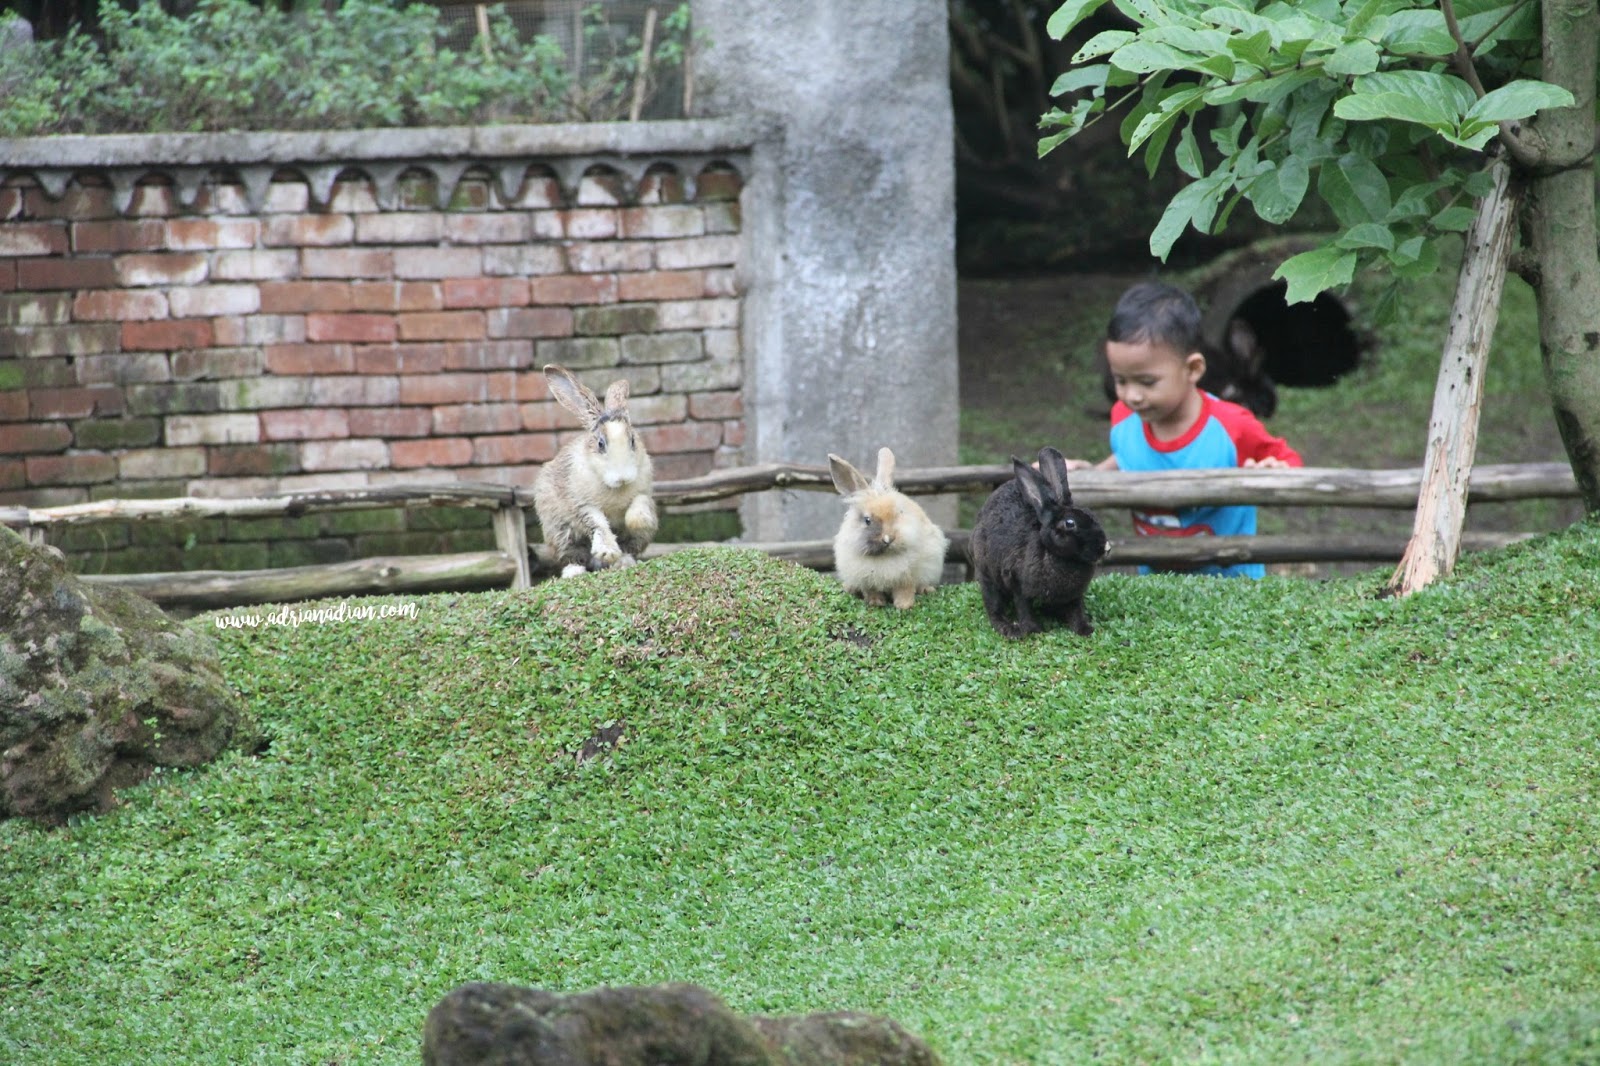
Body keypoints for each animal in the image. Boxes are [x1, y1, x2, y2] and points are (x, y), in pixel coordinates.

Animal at [825, 441, 947, 605]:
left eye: (899, 512)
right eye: (867, 520)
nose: (889, 538)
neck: (884, 556)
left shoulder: (907, 577)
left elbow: (905, 591)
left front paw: (904, 605)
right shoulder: (866, 580)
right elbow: (871, 591)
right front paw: (876, 603)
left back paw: (927, 590)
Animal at [966, 444, 1107, 633]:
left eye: (1092, 514)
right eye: (1070, 523)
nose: (1104, 547)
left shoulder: (1075, 596)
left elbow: (1077, 610)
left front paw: (1085, 629)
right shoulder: (1017, 584)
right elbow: (1024, 607)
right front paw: (1033, 630)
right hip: (987, 575)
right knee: (993, 606)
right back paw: (1008, 629)